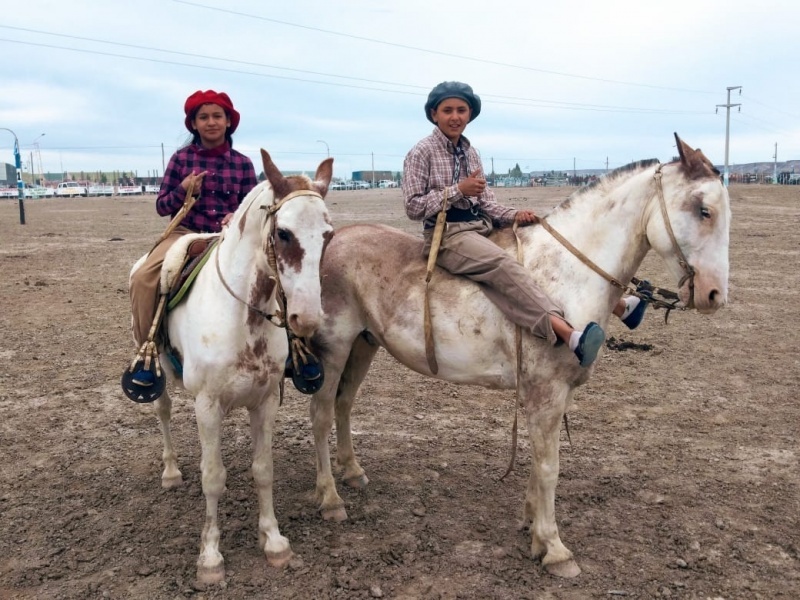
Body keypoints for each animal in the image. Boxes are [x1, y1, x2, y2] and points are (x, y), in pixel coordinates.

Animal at [130, 151, 334, 584]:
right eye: (284, 233)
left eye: (327, 234)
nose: (307, 318)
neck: (242, 314)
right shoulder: (207, 406)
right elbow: (212, 477)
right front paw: (210, 557)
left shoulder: (265, 401)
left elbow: (263, 469)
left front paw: (273, 541)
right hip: (154, 369)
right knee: (163, 411)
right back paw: (170, 472)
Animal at [308, 135, 732, 576]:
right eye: (704, 210)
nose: (714, 295)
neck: (568, 274)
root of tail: (329, 241)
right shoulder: (546, 392)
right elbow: (549, 467)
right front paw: (554, 547)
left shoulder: (556, 394)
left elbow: (538, 462)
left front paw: (531, 525)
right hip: (334, 349)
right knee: (321, 415)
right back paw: (331, 499)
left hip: (364, 344)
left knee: (343, 405)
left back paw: (353, 472)